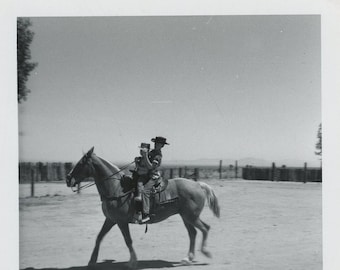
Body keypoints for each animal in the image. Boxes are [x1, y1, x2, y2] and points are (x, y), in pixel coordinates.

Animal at [66, 147, 220, 268]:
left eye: (81, 163)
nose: (68, 179)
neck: (116, 188)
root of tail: (198, 184)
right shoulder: (110, 220)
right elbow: (99, 237)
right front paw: (91, 261)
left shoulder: (121, 222)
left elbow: (128, 240)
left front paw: (133, 262)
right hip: (186, 217)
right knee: (193, 233)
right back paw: (188, 258)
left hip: (191, 216)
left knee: (205, 229)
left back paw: (205, 252)